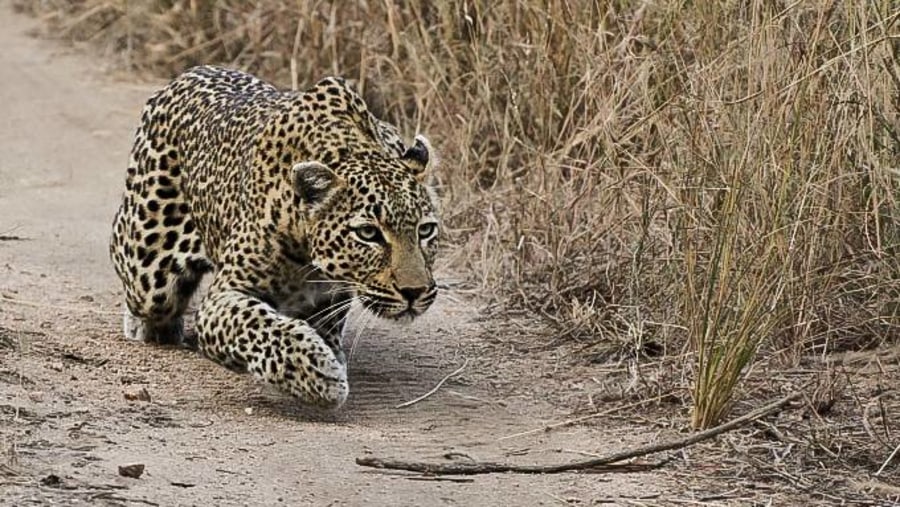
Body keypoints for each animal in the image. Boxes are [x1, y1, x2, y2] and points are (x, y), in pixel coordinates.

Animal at [109, 65, 440, 410]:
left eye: (425, 230)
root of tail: (192, 71)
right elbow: (257, 325)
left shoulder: (328, 302)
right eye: (368, 233)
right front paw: (318, 373)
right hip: (149, 272)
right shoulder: (222, 298)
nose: (415, 292)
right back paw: (147, 326)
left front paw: (326, 357)